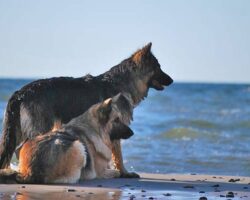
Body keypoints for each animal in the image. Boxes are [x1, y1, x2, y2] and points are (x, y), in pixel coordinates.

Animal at [0, 93, 134, 184]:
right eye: (117, 120)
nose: (132, 133)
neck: (95, 129)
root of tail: (28, 172)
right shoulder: (100, 171)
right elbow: (116, 171)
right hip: (78, 146)